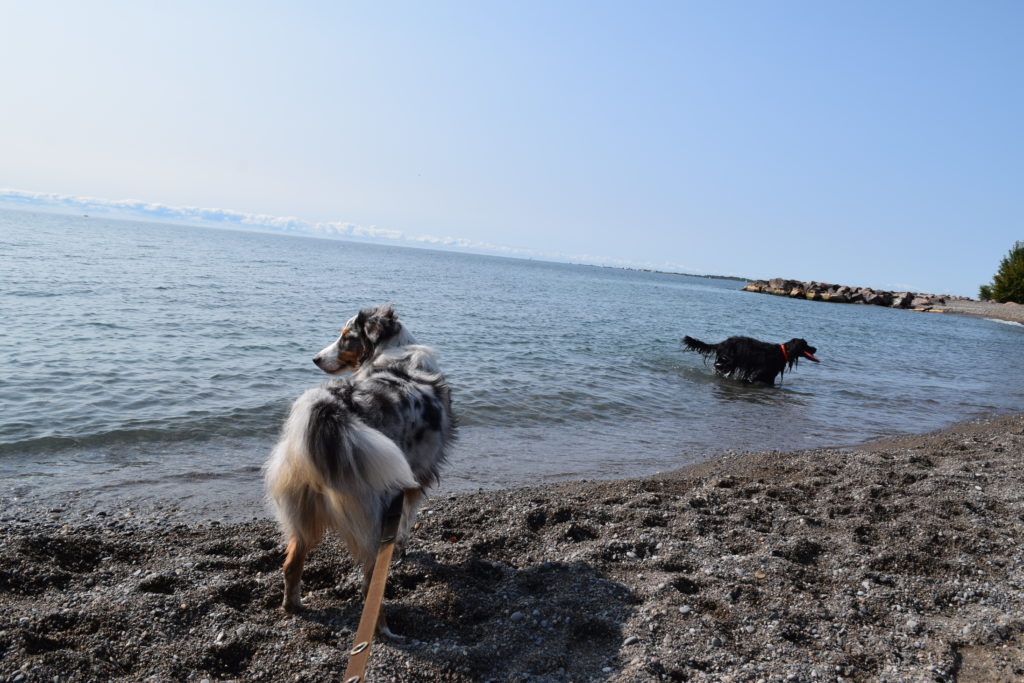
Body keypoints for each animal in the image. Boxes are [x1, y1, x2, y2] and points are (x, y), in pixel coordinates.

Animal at [684, 335, 819, 385]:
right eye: (806, 345)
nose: (815, 348)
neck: (782, 352)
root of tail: (722, 343)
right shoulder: (759, 372)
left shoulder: (769, 376)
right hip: (728, 362)